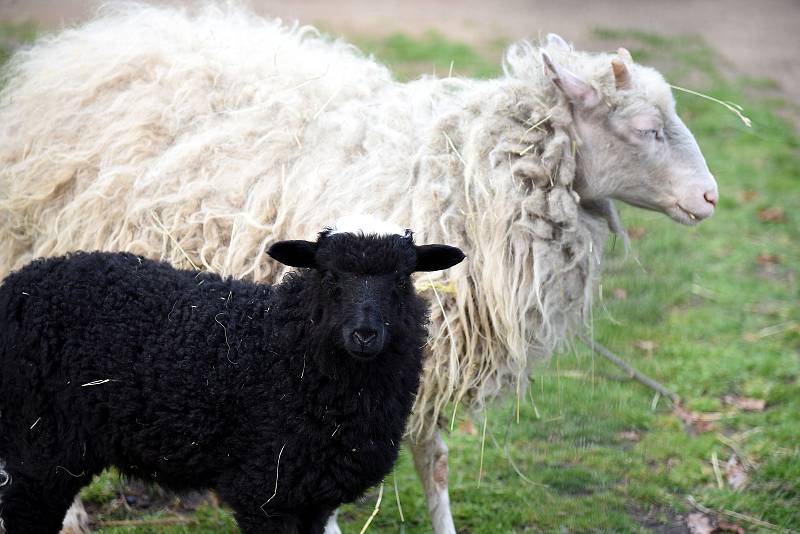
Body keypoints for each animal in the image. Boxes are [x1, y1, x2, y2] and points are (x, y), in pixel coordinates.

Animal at [0, 219, 462, 534]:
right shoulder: (262, 490)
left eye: (402, 279)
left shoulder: (314, 496)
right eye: (329, 275)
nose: (365, 334)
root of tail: (17, 283)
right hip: (39, 442)